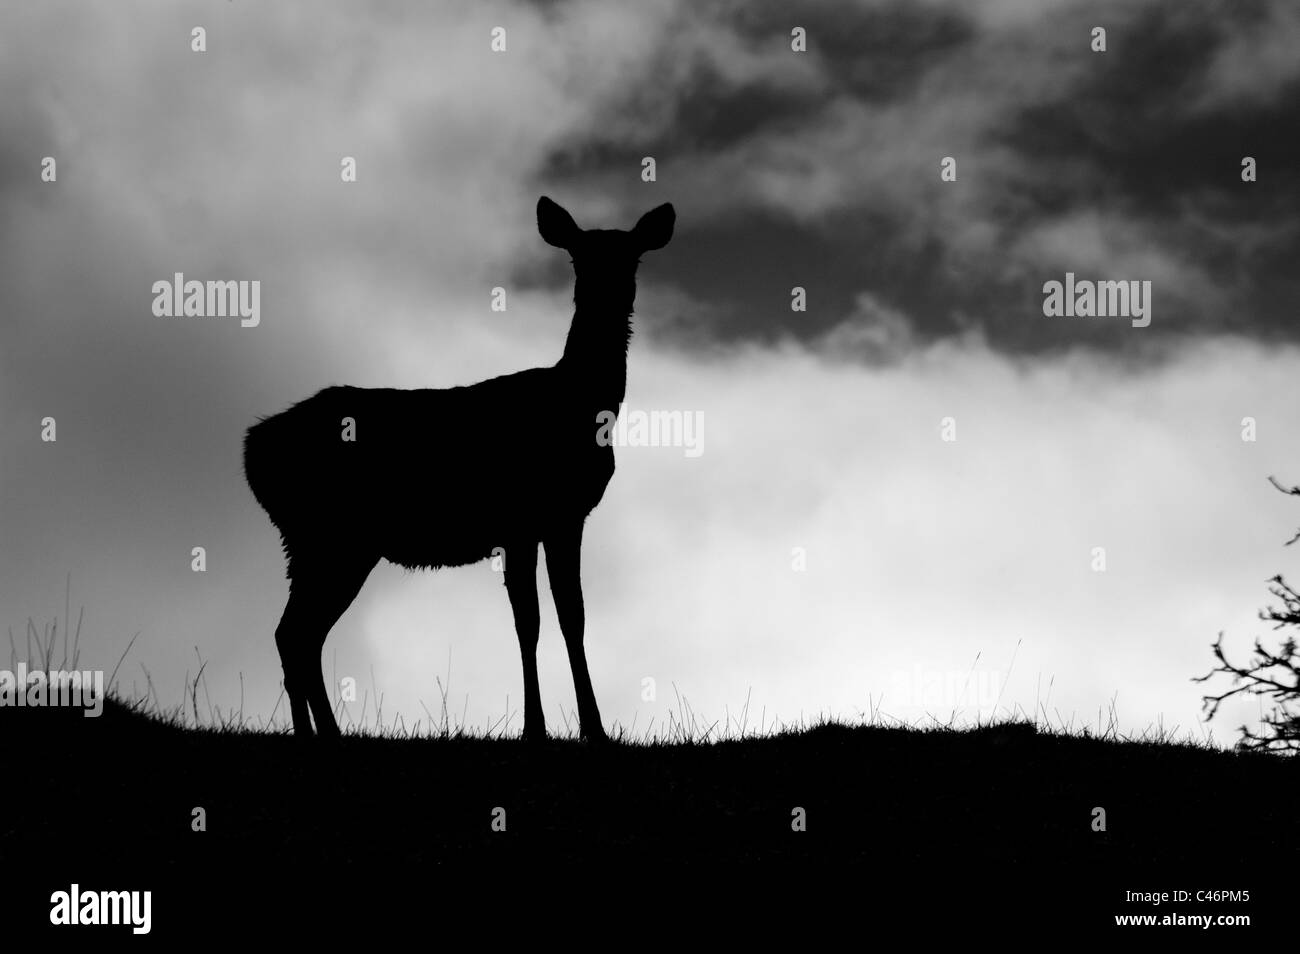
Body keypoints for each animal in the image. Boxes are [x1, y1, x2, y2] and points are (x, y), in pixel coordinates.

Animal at [241, 196, 681, 748]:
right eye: (578, 258)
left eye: (631, 257)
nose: (608, 294)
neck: (581, 407)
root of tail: (251, 448)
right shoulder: (532, 518)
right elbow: (537, 620)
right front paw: (551, 729)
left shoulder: (556, 520)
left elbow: (565, 616)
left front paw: (577, 728)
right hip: (330, 537)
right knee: (296, 633)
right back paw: (319, 735)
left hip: (319, 542)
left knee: (297, 634)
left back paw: (322, 733)